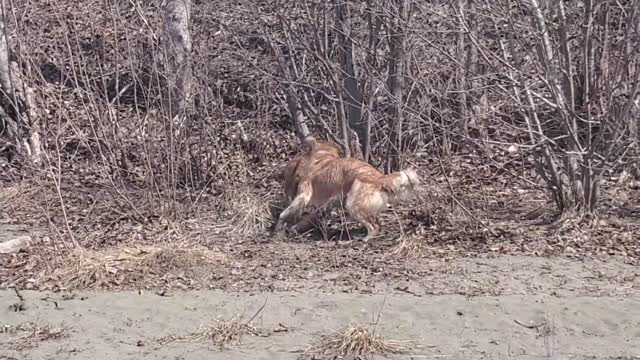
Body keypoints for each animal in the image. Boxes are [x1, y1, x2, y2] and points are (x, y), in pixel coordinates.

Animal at [276, 136, 420, 240]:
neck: (322, 156)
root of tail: (380, 178)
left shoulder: (303, 196)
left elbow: (284, 214)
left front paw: (280, 225)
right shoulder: (324, 206)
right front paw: (294, 228)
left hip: (352, 205)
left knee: (373, 228)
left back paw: (362, 240)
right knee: (378, 224)